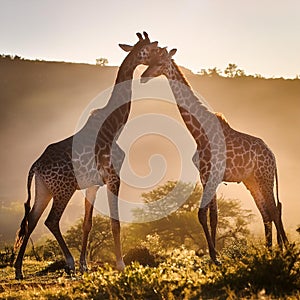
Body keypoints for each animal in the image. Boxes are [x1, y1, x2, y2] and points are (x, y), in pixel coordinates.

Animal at [13, 31, 159, 278]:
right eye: (150, 49)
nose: (163, 57)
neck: (114, 127)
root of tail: (36, 165)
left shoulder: (93, 185)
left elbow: (87, 224)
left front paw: (85, 265)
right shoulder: (113, 178)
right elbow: (115, 222)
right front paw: (120, 264)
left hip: (44, 189)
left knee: (31, 220)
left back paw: (19, 269)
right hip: (64, 189)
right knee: (51, 221)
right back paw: (68, 262)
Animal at [141, 47, 288, 262]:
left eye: (160, 63)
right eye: (150, 60)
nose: (143, 76)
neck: (199, 133)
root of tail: (274, 156)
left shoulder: (214, 174)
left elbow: (204, 214)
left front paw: (215, 257)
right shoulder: (205, 176)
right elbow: (210, 216)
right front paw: (213, 256)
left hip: (264, 176)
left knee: (275, 210)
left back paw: (283, 250)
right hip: (251, 181)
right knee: (266, 213)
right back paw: (268, 251)